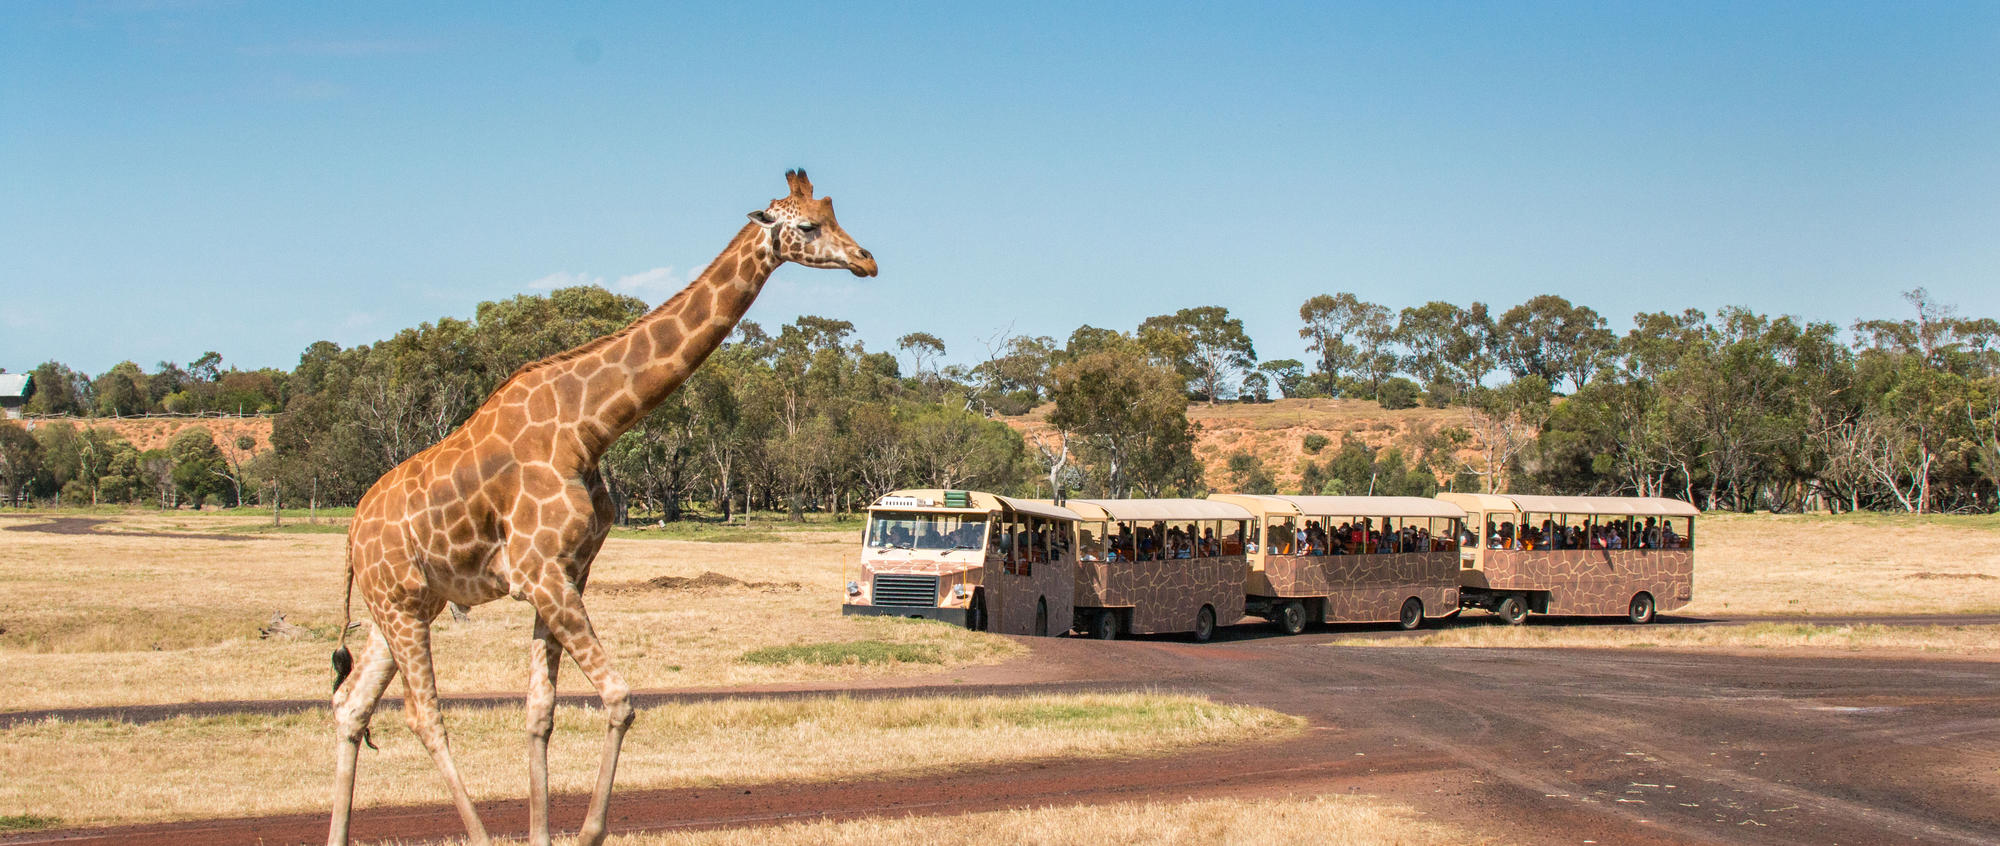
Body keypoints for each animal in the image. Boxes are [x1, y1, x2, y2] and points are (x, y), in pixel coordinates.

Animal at [328, 171, 876, 846]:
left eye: (833, 213)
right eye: (806, 225)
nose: (866, 259)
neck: (588, 427)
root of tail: (351, 534)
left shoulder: (567, 573)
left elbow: (539, 711)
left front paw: (543, 831)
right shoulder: (542, 574)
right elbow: (618, 698)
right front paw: (588, 831)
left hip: (404, 607)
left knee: (350, 705)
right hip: (400, 607)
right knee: (422, 715)